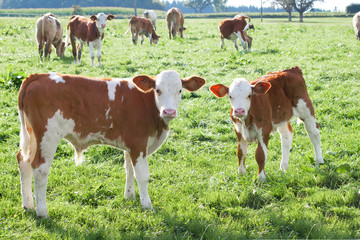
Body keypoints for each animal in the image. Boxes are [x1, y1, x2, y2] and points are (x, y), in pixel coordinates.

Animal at [16, 70, 207, 218]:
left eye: (180, 90)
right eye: (158, 90)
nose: (169, 111)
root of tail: (38, 76)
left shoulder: (130, 145)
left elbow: (129, 169)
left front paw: (129, 196)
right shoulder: (138, 144)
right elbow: (142, 175)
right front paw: (147, 204)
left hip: (32, 136)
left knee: (23, 161)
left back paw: (28, 205)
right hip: (47, 136)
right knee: (40, 168)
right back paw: (42, 211)